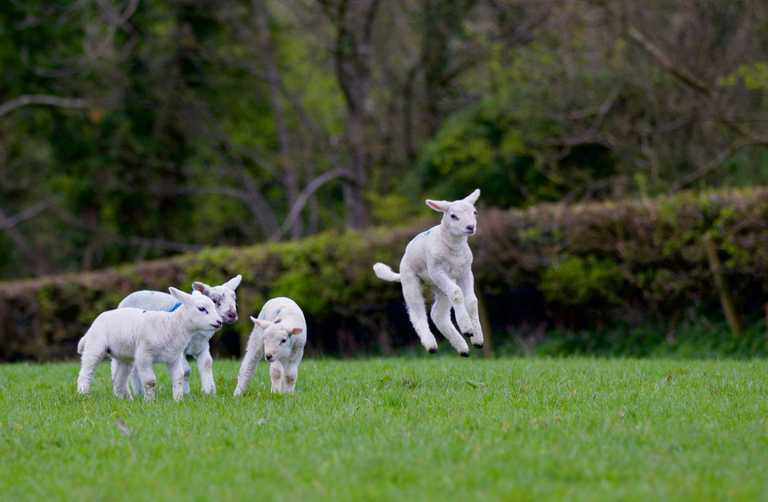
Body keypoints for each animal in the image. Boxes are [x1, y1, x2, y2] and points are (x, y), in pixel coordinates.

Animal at [76, 288, 223, 401]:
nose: (219, 322)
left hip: (124, 356)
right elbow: (150, 381)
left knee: (119, 379)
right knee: (86, 372)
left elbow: (179, 377)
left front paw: (178, 400)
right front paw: (150, 402)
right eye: (201, 309)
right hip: (95, 345)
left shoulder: (174, 357)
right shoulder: (144, 356)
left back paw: (126, 399)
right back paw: (83, 395)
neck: (172, 325)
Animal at [372, 189, 484, 356]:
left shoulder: (466, 272)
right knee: (416, 310)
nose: (471, 227)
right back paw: (431, 344)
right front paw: (467, 328)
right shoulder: (436, 270)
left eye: (474, 212)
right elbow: (457, 293)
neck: (454, 249)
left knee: (437, 314)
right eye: (453, 216)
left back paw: (462, 348)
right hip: (411, 280)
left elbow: (472, 301)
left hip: (439, 287)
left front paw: (477, 339)